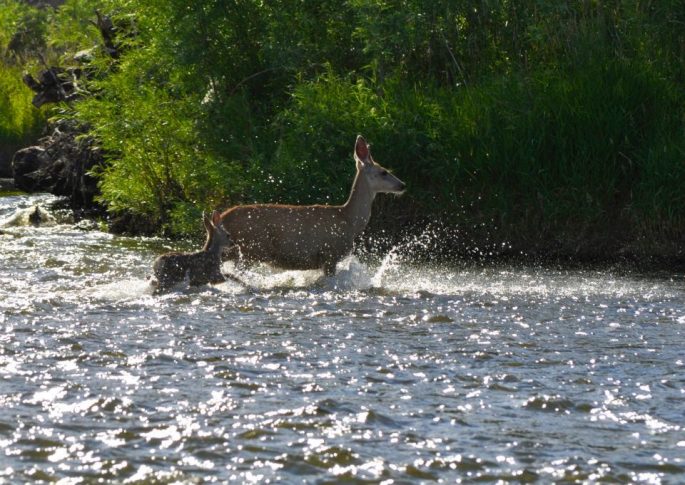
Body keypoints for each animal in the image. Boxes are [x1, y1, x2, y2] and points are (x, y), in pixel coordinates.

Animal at [220, 135, 405, 276]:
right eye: (384, 172)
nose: (402, 185)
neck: (350, 221)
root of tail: (222, 217)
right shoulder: (330, 253)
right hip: (251, 248)